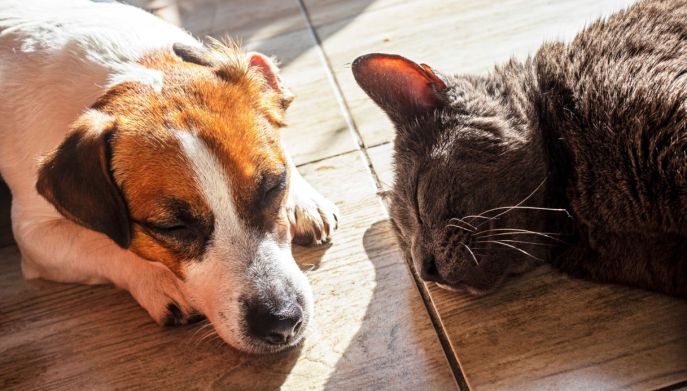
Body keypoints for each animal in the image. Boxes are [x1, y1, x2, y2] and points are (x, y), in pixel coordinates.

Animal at [0, 0, 340, 354]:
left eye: (275, 186)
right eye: (172, 227)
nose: (282, 321)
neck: (127, 68)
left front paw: (303, 199)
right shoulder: (35, 236)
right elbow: (103, 243)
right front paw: (158, 279)